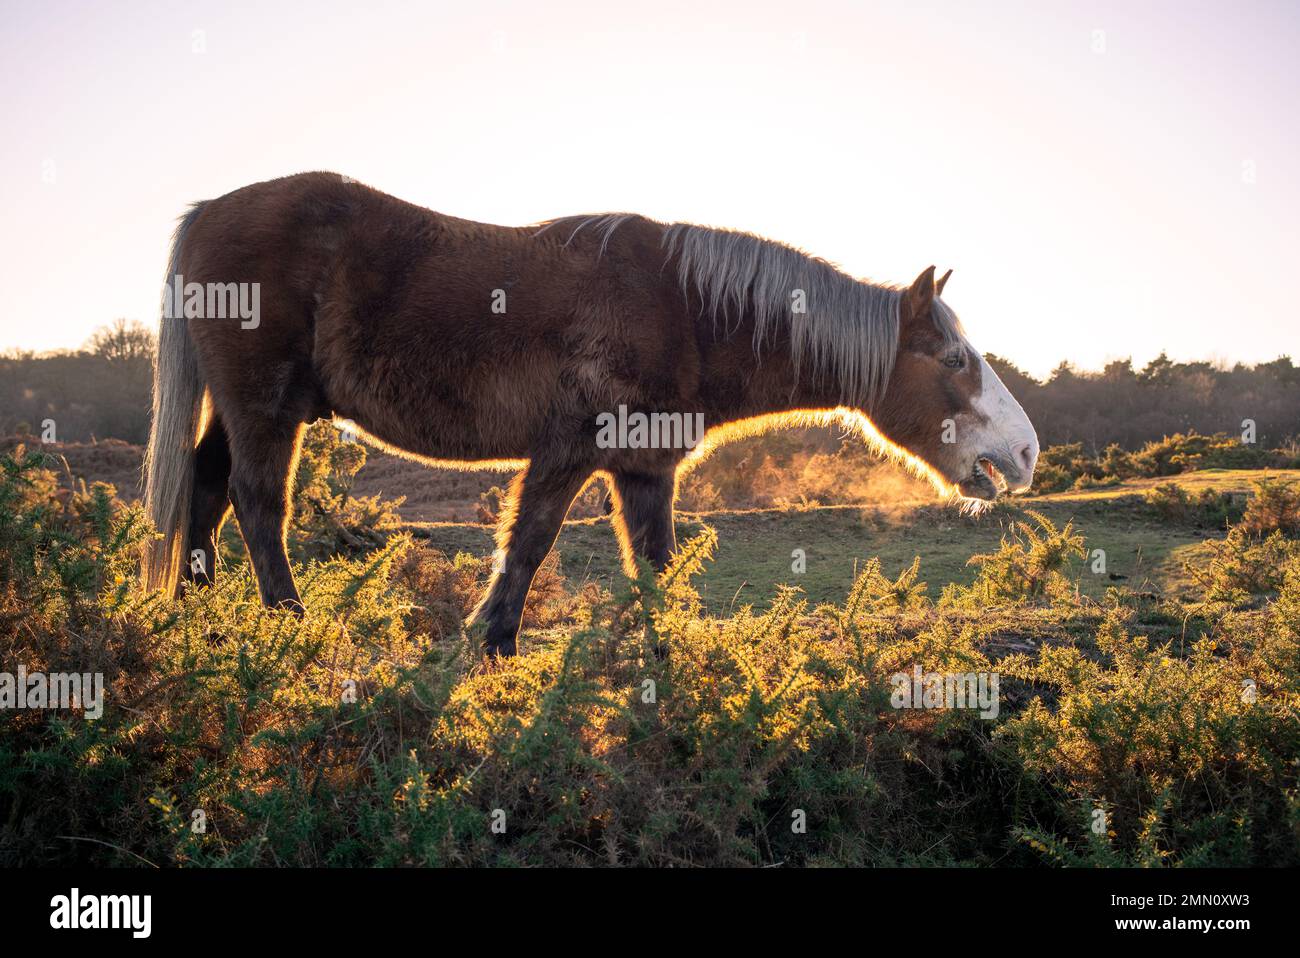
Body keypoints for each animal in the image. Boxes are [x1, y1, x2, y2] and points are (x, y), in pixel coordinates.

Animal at [139, 171, 1034, 655]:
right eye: (955, 360)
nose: (1022, 454)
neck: (684, 308)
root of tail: (208, 211)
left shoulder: (643, 470)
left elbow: (656, 566)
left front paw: (665, 656)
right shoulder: (568, 450)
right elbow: (529, 543)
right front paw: (492, 643)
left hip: (246, 409)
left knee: (207, 491)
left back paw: (197, 617)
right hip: (266, 406)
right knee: (257, 503)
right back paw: (291, 623)